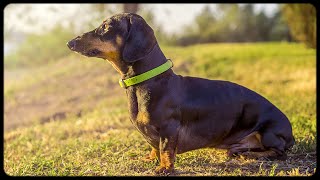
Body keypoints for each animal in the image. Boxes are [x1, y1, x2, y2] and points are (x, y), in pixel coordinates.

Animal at [67, 13, 296, 174]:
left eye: (105, 26)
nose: (70, 42)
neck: (148, 82)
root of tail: (290, 132)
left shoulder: (169, 128)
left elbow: (166, 149)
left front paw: (164, 168)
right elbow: (154, 147)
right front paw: (149, 158)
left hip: (268, 133)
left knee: (279, 152)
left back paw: (253, 155)